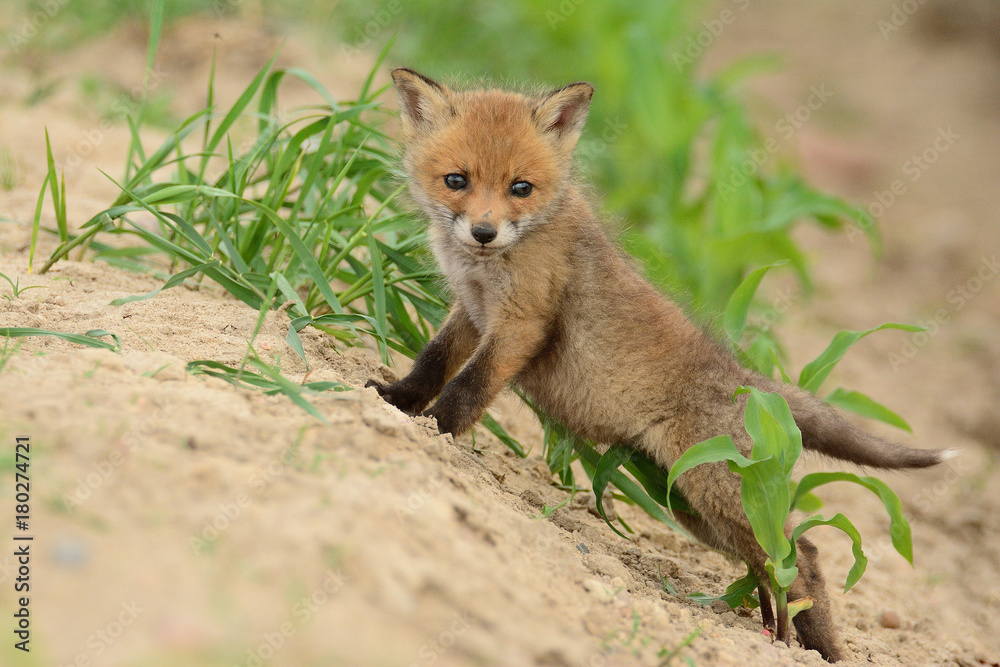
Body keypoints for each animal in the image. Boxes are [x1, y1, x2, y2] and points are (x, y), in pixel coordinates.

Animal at [366, 68, 951, 662]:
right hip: (698, 506)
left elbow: (468, 388)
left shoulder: (521, 324)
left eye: (520, 188)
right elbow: (433, 363)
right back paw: (778, 631)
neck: (490, 264)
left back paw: (817, 648)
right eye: (456, 180)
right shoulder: (471, 313)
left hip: (720, 492)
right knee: (770, 562)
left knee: (801, 552)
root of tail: (752, 387)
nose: (483, 232)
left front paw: (435, 429)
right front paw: (396, 401)